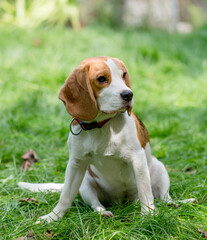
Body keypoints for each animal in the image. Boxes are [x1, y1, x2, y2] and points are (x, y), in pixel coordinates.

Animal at [19, 56, 172, 223]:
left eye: (124, 75)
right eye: (102, 79)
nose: (128, 94)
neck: (101, 126)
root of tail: (122, 200)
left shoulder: (137, 159)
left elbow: (146, 192)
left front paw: (148, 215)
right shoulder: (75, 164)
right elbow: (65, 196)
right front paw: (53, 216)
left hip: (159, 168)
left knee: (163, 196)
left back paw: (174, 203)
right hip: (85, 183)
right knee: (95, 204)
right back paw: (102, 212)